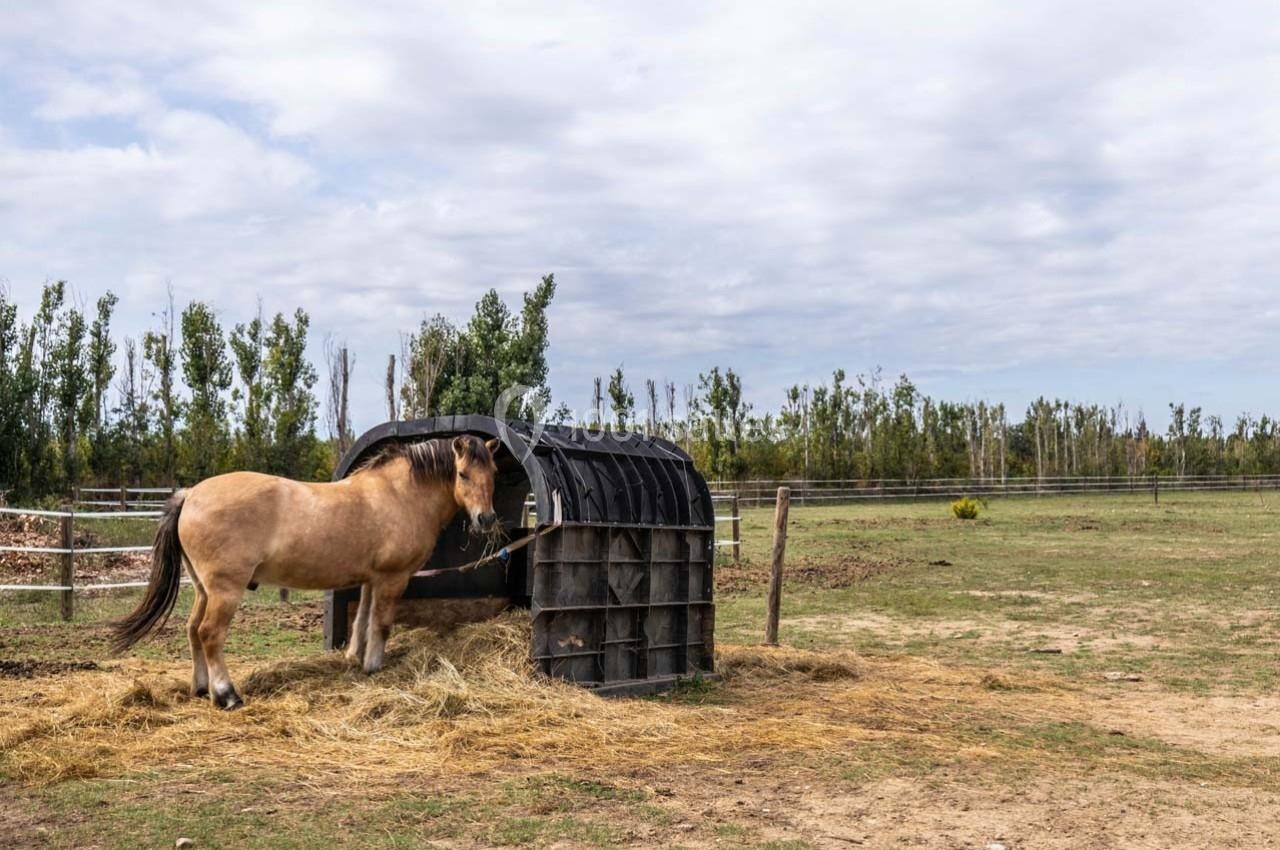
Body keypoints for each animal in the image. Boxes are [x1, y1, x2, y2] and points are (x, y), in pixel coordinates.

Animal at [111, 435, 502, 710]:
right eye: (463, 473)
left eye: (494, 474)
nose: (486, 519)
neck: (397, 493)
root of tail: (190, 494)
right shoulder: (393, 578)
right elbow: (382, 624)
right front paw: (374, 666)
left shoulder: (371, 579)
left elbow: (362, 619)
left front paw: (355, 659)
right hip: (225, 590)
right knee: (210, 634)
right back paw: (227, 695)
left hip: (203, 590)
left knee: (192, 630)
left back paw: (202, 687)